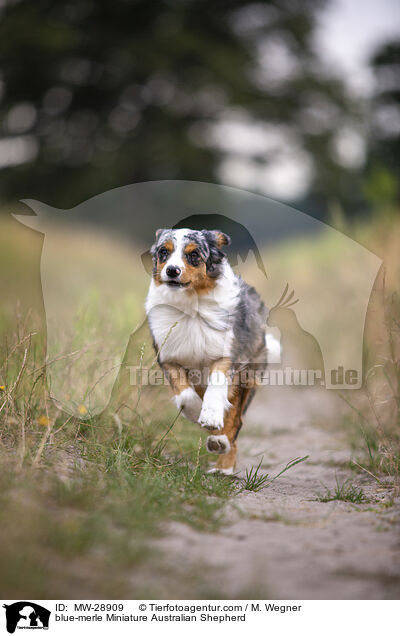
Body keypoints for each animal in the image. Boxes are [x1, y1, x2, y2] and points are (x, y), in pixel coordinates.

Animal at [145, 227, 276, 472]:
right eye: (163, 252)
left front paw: (211, 417)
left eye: (194, 254)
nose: (172, 270)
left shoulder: (227, 354)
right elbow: (185, 394)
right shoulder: (168, 357)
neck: (190, 305)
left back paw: (222, 455)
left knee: (236, 419)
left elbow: (217, 387)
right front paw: (197, 412)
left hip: (248, 377)